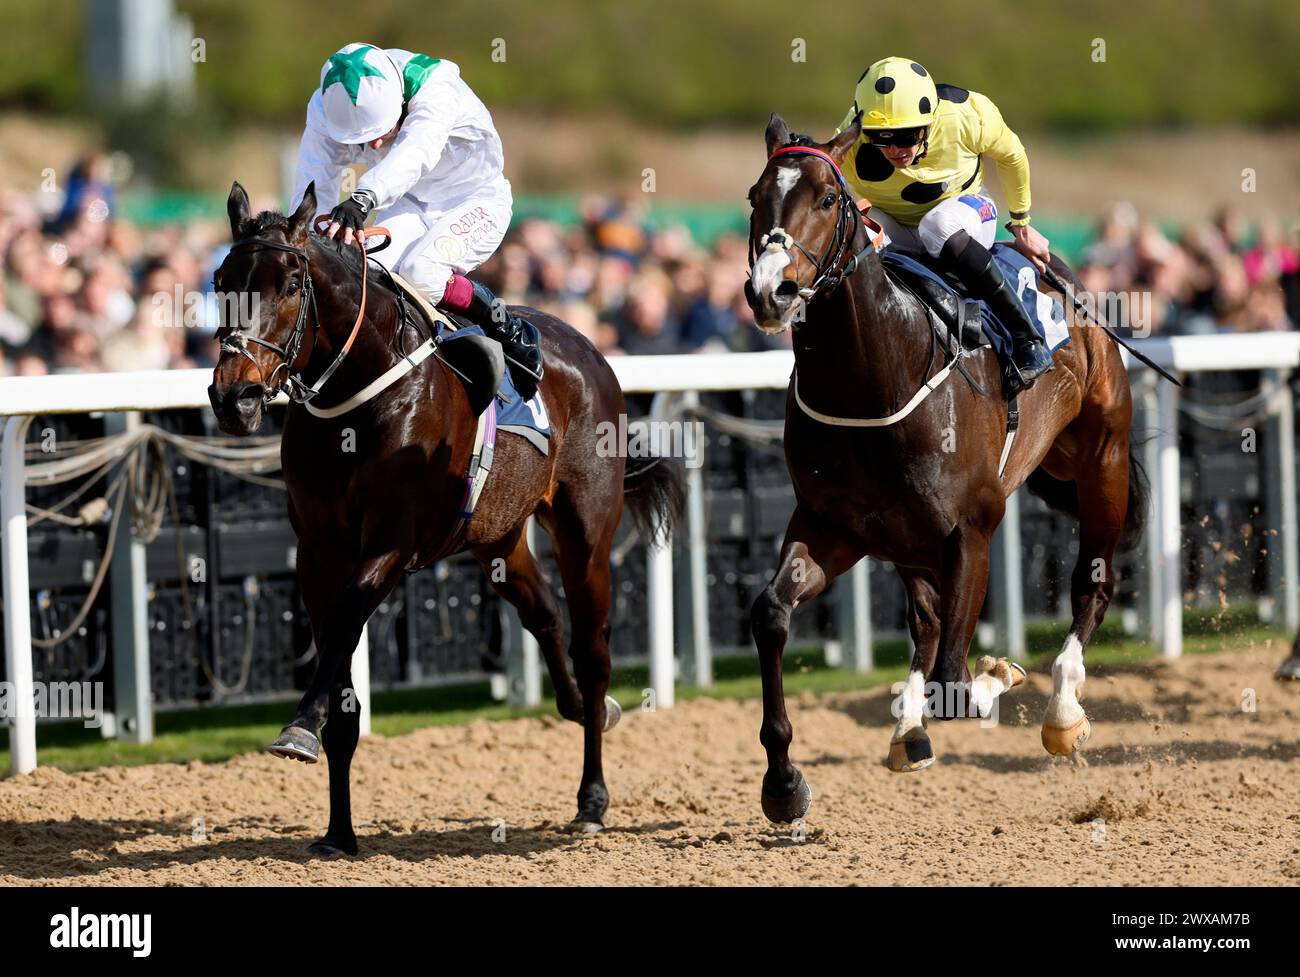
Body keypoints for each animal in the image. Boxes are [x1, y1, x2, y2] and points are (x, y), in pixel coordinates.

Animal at [205, 183, 681, 852]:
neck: (361, 395)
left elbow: (345, 625)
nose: (234, 397)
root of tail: (591, 350)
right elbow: (338, 667)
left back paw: (592, 797)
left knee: (593, 654)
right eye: (222, 281)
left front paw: (298, 726)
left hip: (585, 530)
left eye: (292, 284)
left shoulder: (392, 542)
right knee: (544, 613)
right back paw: (577, 707)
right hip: (497, 537)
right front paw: (338, 832)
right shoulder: (319, 552)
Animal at [748, 116, 1144, 826]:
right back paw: (908, 729)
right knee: (928, 620)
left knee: (1092, 584)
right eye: (753, 199)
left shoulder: (971, 530)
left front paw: (1003, 674)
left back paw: (1062, 710)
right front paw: (783, 783)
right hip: (908, 538)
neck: (878, 377)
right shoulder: (831, 525)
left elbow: (957, 683)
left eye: (827, 198)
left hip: (1101, 462)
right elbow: (771, 613)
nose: (772, 290)